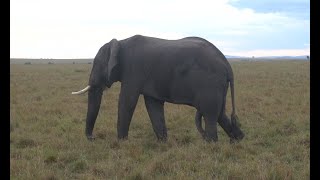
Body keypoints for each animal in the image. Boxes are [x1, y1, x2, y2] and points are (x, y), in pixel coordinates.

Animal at [71, 34, 244, 142]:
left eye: (98, 65)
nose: (93, 138)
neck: (120, 42)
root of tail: (227, 64)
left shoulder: (134, 70)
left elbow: (127, 101)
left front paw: (121, 142)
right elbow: (153, 105)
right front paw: (163, 142)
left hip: (210, 84)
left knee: (210, 114)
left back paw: (211, 145)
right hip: (218, 87)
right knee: (219, 114)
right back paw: (237, 140)